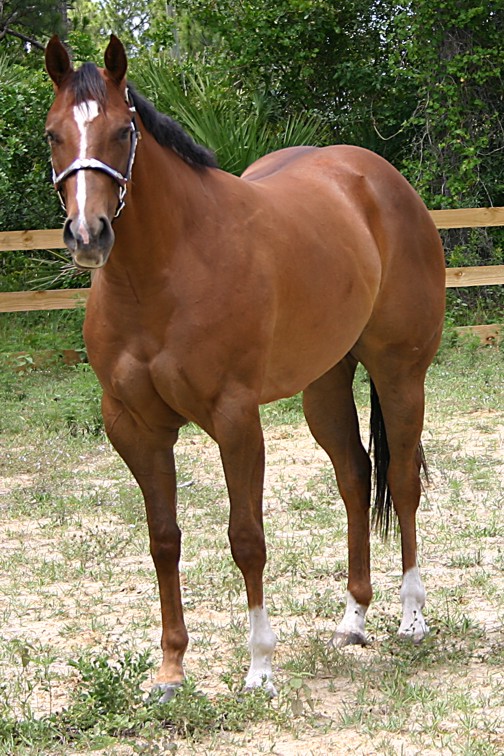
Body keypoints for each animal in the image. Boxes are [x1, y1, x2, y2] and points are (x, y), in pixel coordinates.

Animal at [44, 35, 445, 700]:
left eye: (123, 131)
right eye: (53, 134)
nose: (87, 234)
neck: (163, 272)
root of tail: (381, 180)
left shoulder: (234, 418)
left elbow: (246, 539)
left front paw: (260, 666)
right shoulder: (134, 427)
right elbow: (164, 540)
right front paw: (171, 671)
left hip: (399, 373)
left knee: (403, 480)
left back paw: (411, 615)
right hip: (323, 385)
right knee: (355, 476)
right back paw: (354, 617)